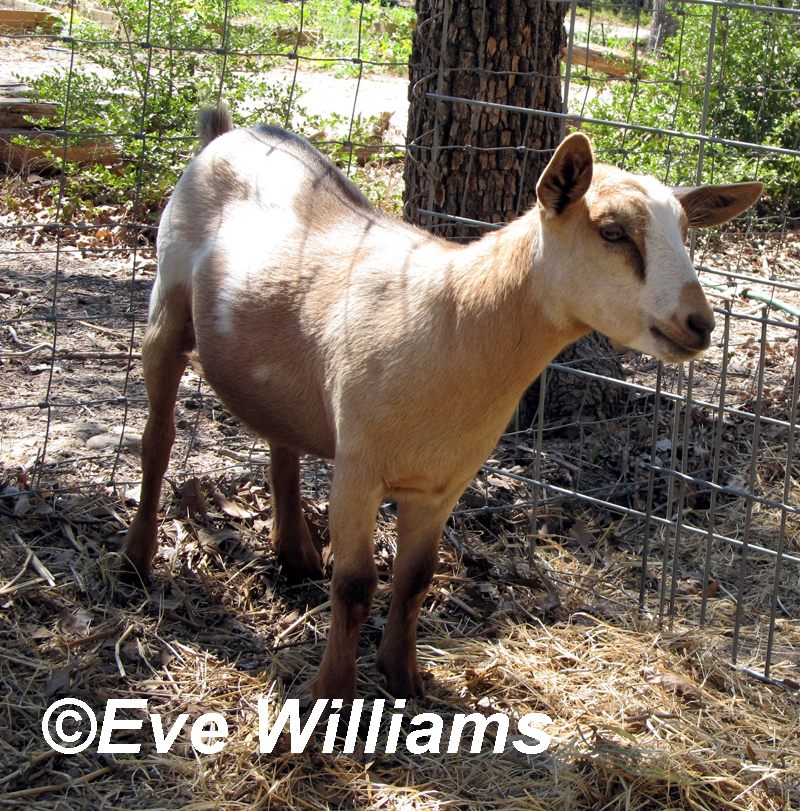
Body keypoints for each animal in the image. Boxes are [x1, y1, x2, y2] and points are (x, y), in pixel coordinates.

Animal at [120, 104, 764, 700]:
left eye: (686, 233)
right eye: (611, 231)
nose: (699, 324)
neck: (453, 319)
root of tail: (229, 132)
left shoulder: (442, 483)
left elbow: (415, 581)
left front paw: (404, 680)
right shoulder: (358, 468)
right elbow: (355, 587)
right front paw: (331, 691)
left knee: (281, 437)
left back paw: (296, 554)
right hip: (166, 305)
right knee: (157, 442)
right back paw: (135, 560)